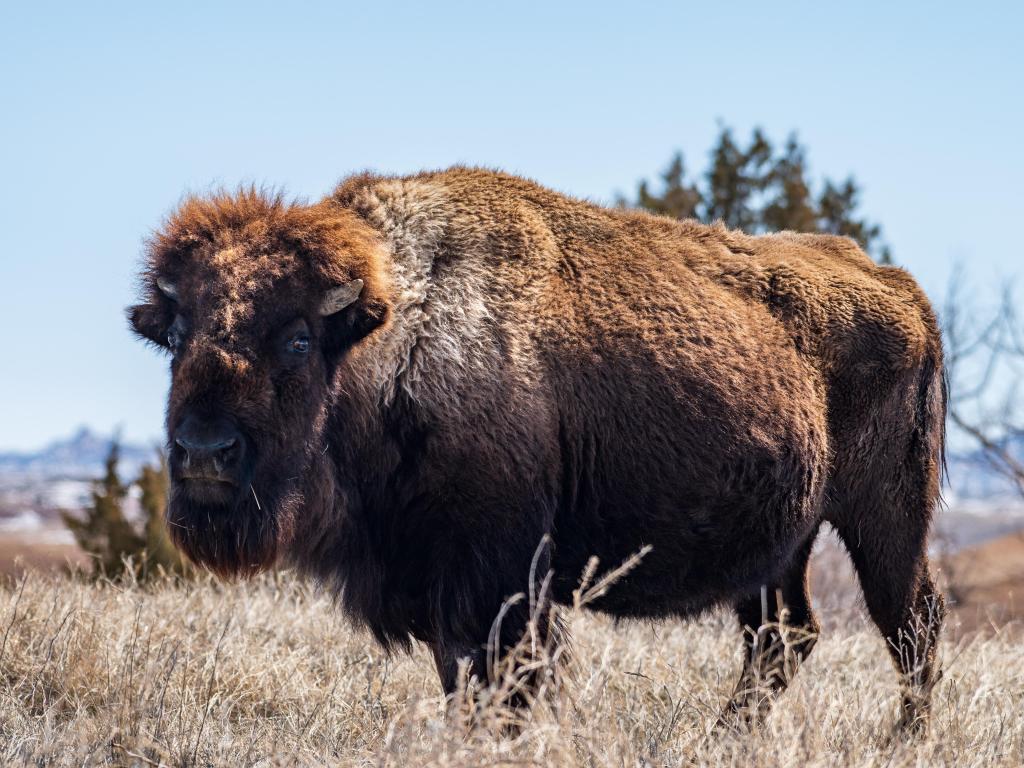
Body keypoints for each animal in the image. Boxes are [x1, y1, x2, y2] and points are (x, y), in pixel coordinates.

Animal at [132, 166, 946, 733]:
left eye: (298, 339)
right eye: (178, 335)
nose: (203, 453)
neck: (395, 330)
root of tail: (900, 287)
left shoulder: (503, 583)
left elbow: (506, 686)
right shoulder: (443, 588)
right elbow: (464, 682)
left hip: (886, 518)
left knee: (911, 623)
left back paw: (904, 741)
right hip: (782, 546)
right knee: (783, 638)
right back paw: (724, 741)